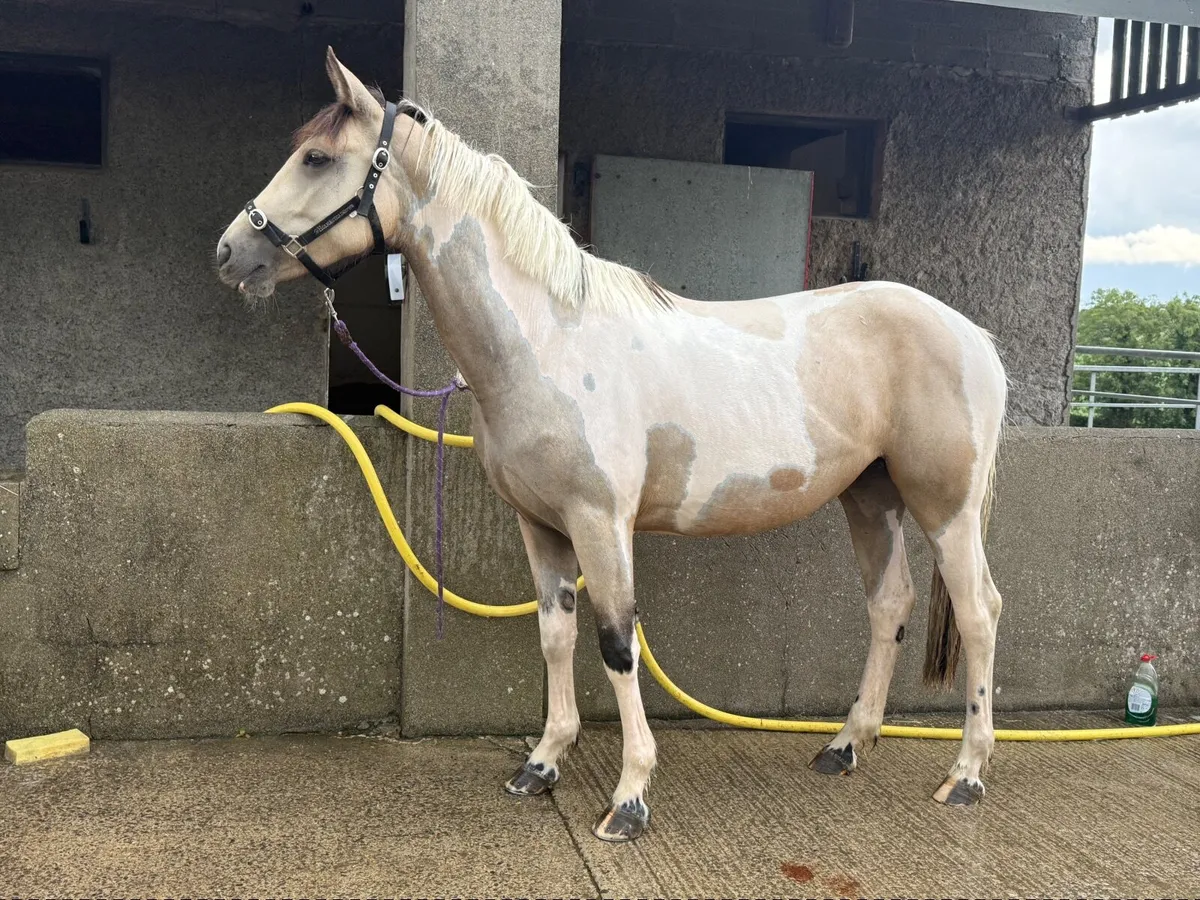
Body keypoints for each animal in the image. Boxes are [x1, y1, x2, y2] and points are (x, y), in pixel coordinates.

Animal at [216, 48, 1008, 843]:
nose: (230, 253)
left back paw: (966, 775)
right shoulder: (541, 527)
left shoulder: (601, 524)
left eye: (317, 158)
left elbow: (617, 645)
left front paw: (629, 798)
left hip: (945, 508)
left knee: (978, 613)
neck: (547, 342)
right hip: (871, 496)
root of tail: (974, 336)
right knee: (889, 605)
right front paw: (541, 766)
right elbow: (555, 636)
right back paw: (845, 748)